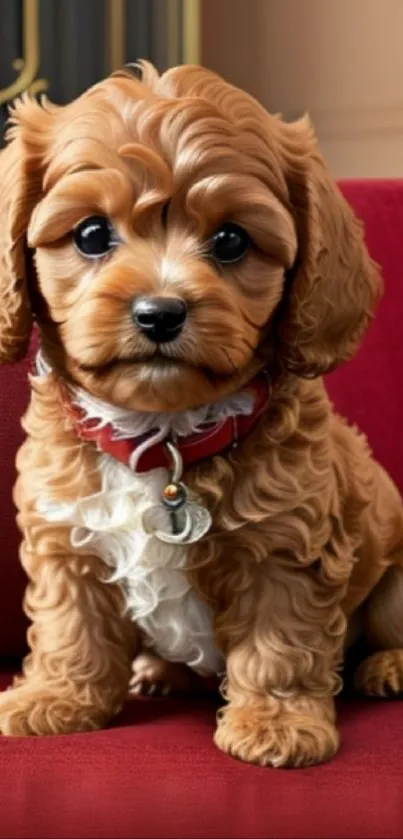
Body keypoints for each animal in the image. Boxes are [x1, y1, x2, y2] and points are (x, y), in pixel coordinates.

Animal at [0, 62, 403, 768]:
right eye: (91, 235)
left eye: (231, 240)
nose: (159, 312)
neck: (162, 441)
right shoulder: (64, 539)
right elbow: (69, 624)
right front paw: (55, 697)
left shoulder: (287, 549)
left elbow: (279, 642)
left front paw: (276, 725)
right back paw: (157, 672)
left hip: (395, 589)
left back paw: (388, 667)